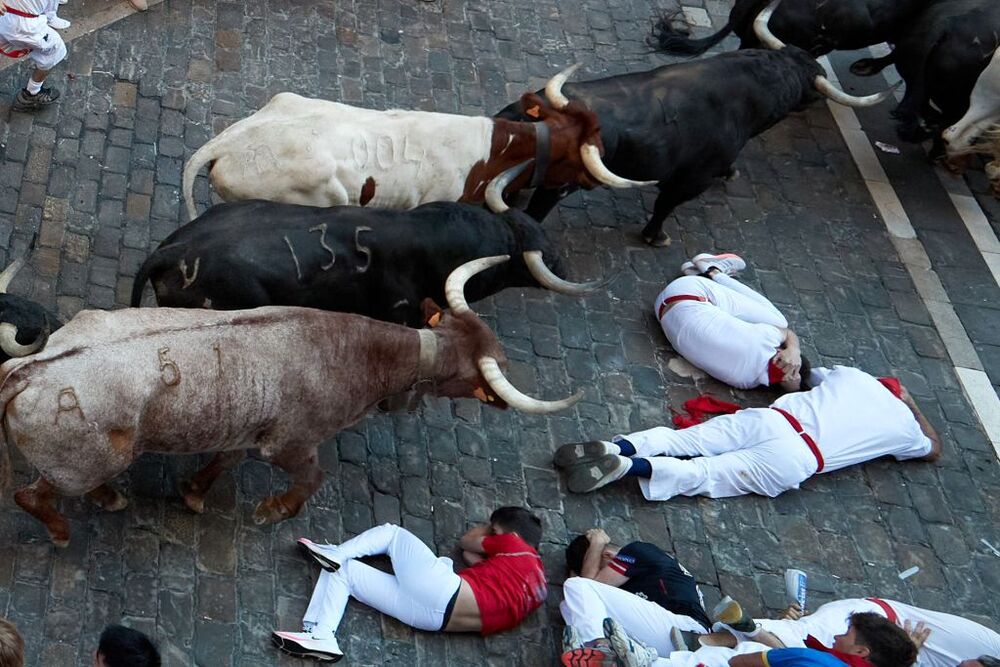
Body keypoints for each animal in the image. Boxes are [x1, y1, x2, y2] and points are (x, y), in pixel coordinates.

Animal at [0, 258, 580, 544]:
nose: (506, 365)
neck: (354, 351)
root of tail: (28, 370)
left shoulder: (243, 429)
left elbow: (223, 461)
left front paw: (193, 493)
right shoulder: (291, 444)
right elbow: (312, 478)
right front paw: (274, 509)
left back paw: (108, 498)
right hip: (80, 461)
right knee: (31, 497)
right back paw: (64, 531)